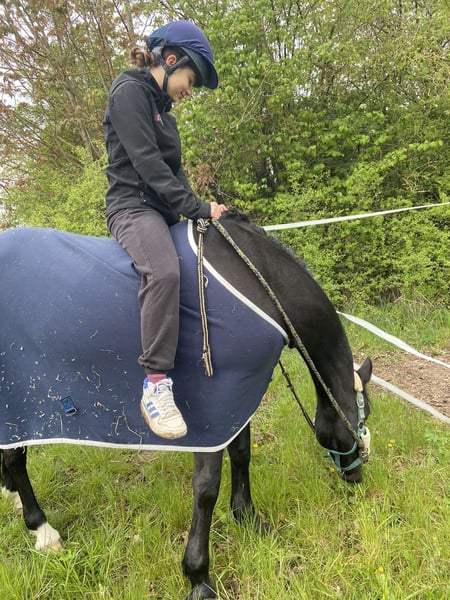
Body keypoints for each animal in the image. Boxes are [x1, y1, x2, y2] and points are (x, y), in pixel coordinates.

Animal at [0, 209, 372, 600]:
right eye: (364, 416)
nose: (357, 476)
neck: (258, 284)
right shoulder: (214, 410)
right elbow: (206, 489)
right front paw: (198, 576)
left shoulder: (239, 395)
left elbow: (242, 454)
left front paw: (247, 518)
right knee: (16, 459)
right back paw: (43, 531)